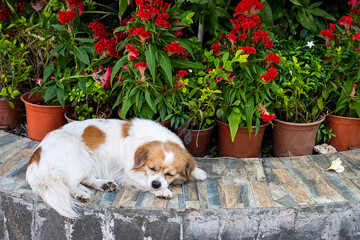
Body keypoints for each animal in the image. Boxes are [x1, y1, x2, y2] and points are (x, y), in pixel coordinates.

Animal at [25, 118, 207, 219]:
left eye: (169, 174)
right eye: (152, 168)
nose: (156, 184)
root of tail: (35, 156)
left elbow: (191, 167)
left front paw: (197, 172)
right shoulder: (130, 174)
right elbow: (145, 183)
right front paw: (161, 191)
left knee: (87, 179)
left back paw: (104, 185)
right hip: (81, 157)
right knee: (70, 183)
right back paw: (80, 194)